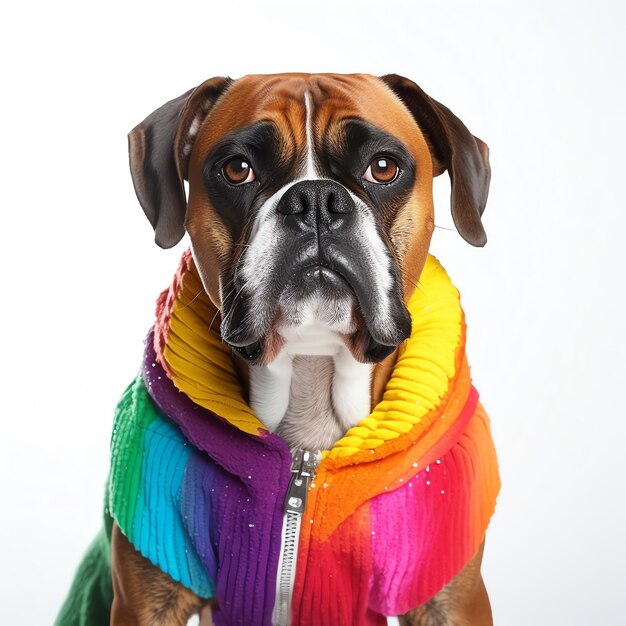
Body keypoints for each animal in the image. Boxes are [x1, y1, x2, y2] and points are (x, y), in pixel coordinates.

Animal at [57, 72, 498, 624]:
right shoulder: (148, 593)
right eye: (237, 169)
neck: (311, 374)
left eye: (383, 167)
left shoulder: (450, 598)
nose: (315, 199)